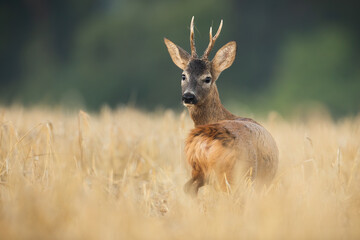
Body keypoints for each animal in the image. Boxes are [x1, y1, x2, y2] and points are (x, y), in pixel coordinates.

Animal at [163, 17, 278, 197]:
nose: (188, 96)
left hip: (201, 171)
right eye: (183, 75)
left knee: (188, 189)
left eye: (207, 78)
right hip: (237, 175)